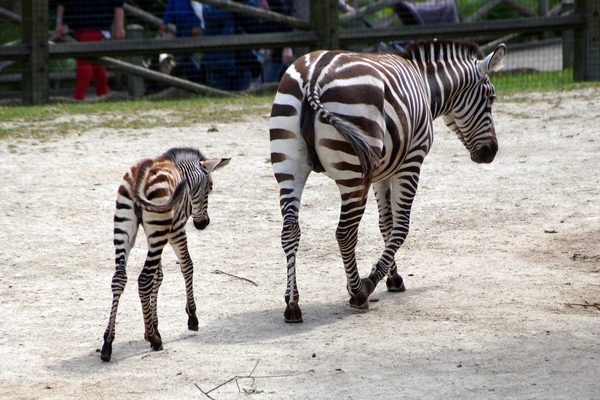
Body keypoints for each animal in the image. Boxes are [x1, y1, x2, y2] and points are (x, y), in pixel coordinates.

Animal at [99, 148, 229, 362]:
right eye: (210, 187)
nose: (204, 224)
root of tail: (140, 175)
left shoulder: (156, 233)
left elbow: (158, 276)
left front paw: (152, 326)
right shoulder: (176, 228)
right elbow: (187, 265)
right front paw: (191, 317)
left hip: (127, 227)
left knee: (119, 278)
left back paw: (107, 343)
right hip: (158, 226)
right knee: (143, 279)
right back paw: (154, 341)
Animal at [270, 39, 504, 324]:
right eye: (491, 98)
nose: (491, 152)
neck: (425, 86)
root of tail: (313, 77)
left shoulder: (382, 172)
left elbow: (386, 225)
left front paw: (394, 278)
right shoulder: (410, 162)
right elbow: (401, 227)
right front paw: (374, 280)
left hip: (288, 164)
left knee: (290, 231)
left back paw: (292, 304)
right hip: (353, 171)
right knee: (345, 234)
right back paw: (359, 291)